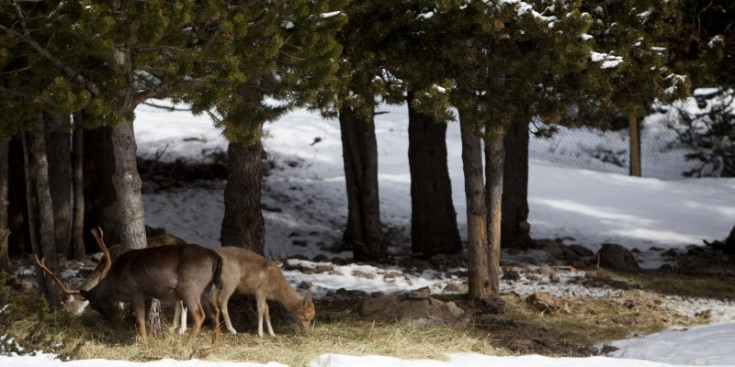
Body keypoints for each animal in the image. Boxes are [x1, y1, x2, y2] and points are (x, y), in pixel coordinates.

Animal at [36, 229, 221, 346]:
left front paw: (143, 341)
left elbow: (139, 319)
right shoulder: (148, 295)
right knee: (215, 311)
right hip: (205, 290)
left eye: (94, 305)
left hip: (190, 288)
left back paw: (186, 342)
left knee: (198, 314)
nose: (108, 319)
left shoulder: (136, 292)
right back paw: (213, 342)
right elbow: (144, 318)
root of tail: (215, 257)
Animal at [173, 247, 316, 340]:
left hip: (219, 283)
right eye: (305, 316)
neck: (277, 288)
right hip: (231, 281)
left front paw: (272, 333)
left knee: (212, 298)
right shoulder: (260, 291)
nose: (306, 330)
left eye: (312, 316)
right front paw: (260, 333)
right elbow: (261, 309)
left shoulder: (265, 295)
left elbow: (267, 310)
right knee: (222, 300)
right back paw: (232, 329)